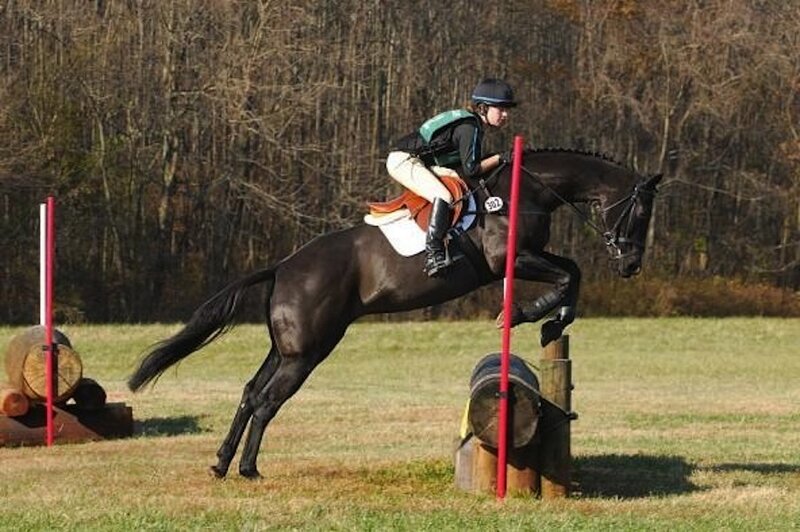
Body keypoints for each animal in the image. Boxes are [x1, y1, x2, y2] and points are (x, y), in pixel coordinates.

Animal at [128, 148, 662, 479]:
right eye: (640, 213)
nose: (632, 265)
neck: (521, 193)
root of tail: (282, 267)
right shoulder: (507, 260)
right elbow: (569, 273)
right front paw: (532, 314)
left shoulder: (528, 257)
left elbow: (572, 272)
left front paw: (552, 319)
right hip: (308, 352)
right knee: (266, 401)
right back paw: (248, 469)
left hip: (286, 349)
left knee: (248, 393)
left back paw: (221, 464)